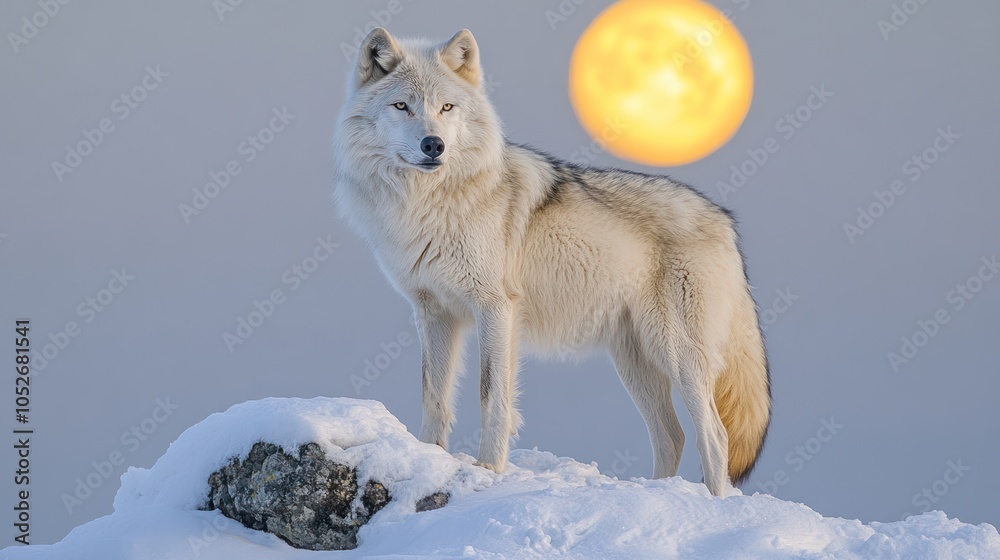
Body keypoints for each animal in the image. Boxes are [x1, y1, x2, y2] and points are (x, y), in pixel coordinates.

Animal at [333, 28, 771, 496]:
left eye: (446, 107)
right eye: (402, 106)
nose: (434, 145)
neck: (427, 204)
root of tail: (725, 221)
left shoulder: (495, 308)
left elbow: (491, 395)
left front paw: (488, 471)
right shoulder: (434, 313)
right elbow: (434, 396)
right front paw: (428, 457)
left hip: (676, 353)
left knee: (716, 437)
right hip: (636, 362)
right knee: (673, 435)